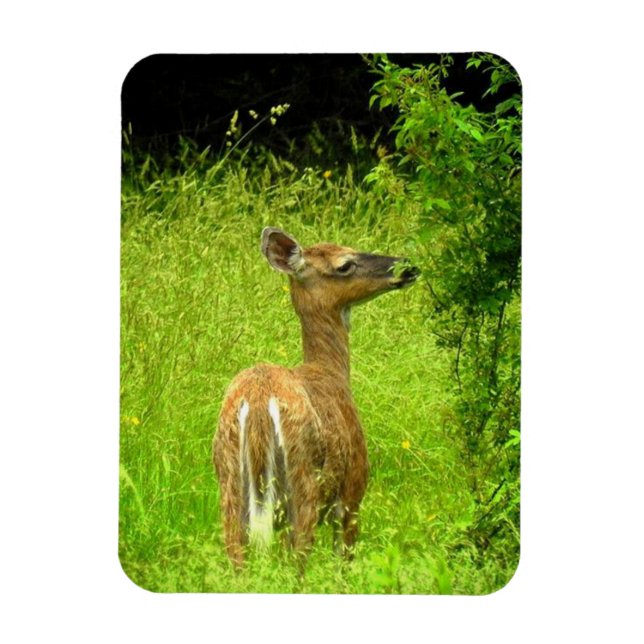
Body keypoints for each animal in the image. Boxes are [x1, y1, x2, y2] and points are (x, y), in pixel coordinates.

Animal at [212, 227, 418, 568]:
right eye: (345, 264)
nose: (407, 266)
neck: (331, 372)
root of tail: (257, 401)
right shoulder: (353, 491)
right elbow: (343, 563)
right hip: (302, 483)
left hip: (229, 481)